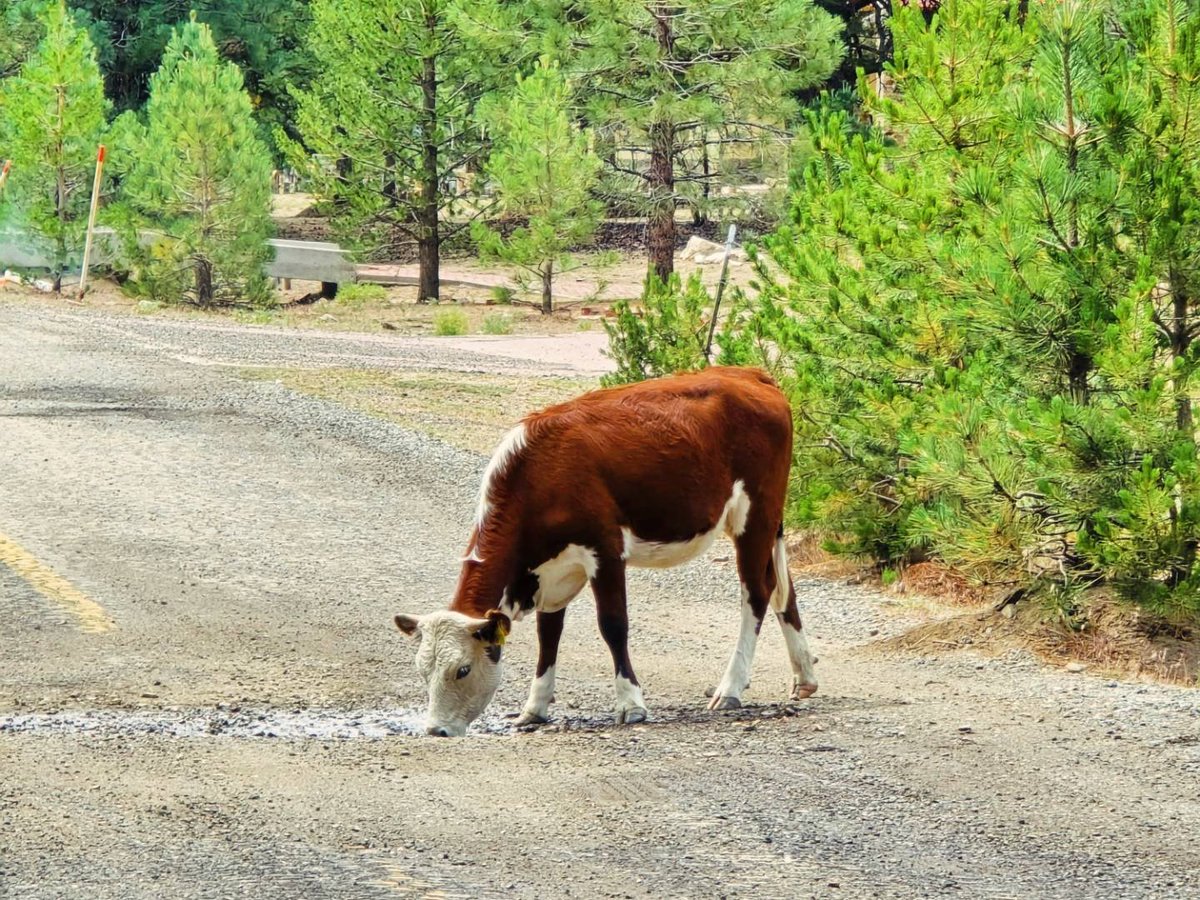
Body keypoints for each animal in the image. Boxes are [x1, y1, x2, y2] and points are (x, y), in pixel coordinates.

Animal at [394, 366, 818, 736]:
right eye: (422, 672)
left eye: (463, 669)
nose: (436, 730)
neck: (540, 473)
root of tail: (749, 374)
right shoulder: (551, 570)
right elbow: (549, 636)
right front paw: (534, 708)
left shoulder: (605, 549)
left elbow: (613, 625)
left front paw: (631, 704)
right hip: (768, 520)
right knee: (781, 586)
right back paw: (805, 677)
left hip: (755, 513)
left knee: (756, 593)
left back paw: (730, 688)